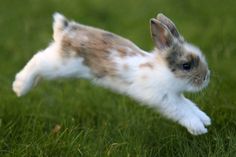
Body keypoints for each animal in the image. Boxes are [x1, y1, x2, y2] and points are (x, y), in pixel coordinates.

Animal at [12, 12, 211, 135]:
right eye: (186, 65)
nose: (206, 77)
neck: (162, 71)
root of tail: (66, 30)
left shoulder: (177, 96)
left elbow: (190, 106)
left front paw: (205, 120)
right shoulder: (165, 99)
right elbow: (182, 111)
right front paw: (198, 128)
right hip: (61, 65)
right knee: (38, 60)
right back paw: (19, 87)